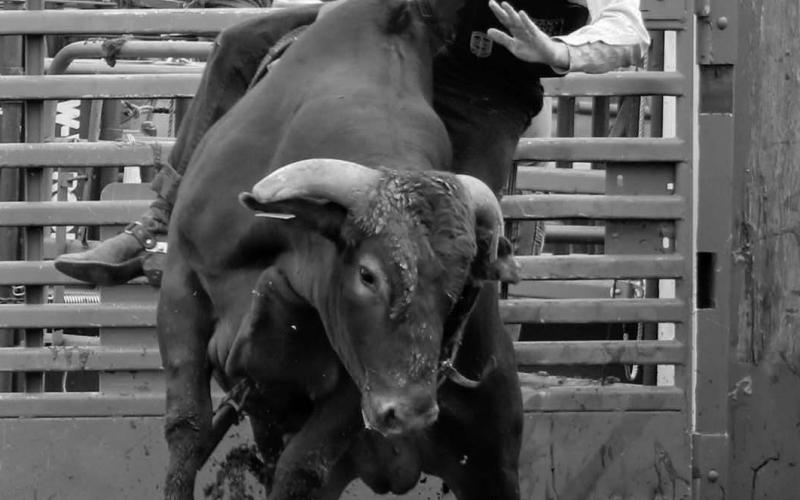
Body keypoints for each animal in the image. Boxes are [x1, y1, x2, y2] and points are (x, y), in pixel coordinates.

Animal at [158, 0, 523, 498]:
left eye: (459, 290)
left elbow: (302, 465)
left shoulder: (360, 367)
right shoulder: (182, 286)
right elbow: (188, 430)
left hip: (491, 459)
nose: (412, 413)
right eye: (368, 274)